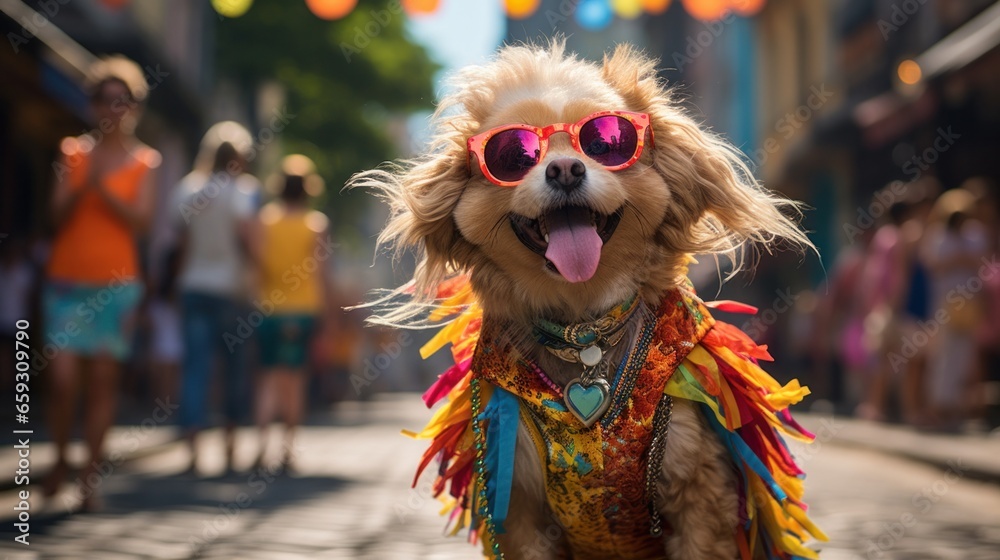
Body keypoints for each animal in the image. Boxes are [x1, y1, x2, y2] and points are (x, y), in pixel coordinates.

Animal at [356, 40, 824, 560]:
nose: (564, 168)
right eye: (514, 154)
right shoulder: (520, 502)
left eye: (604, 143)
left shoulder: (702, 492)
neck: (582, 327)